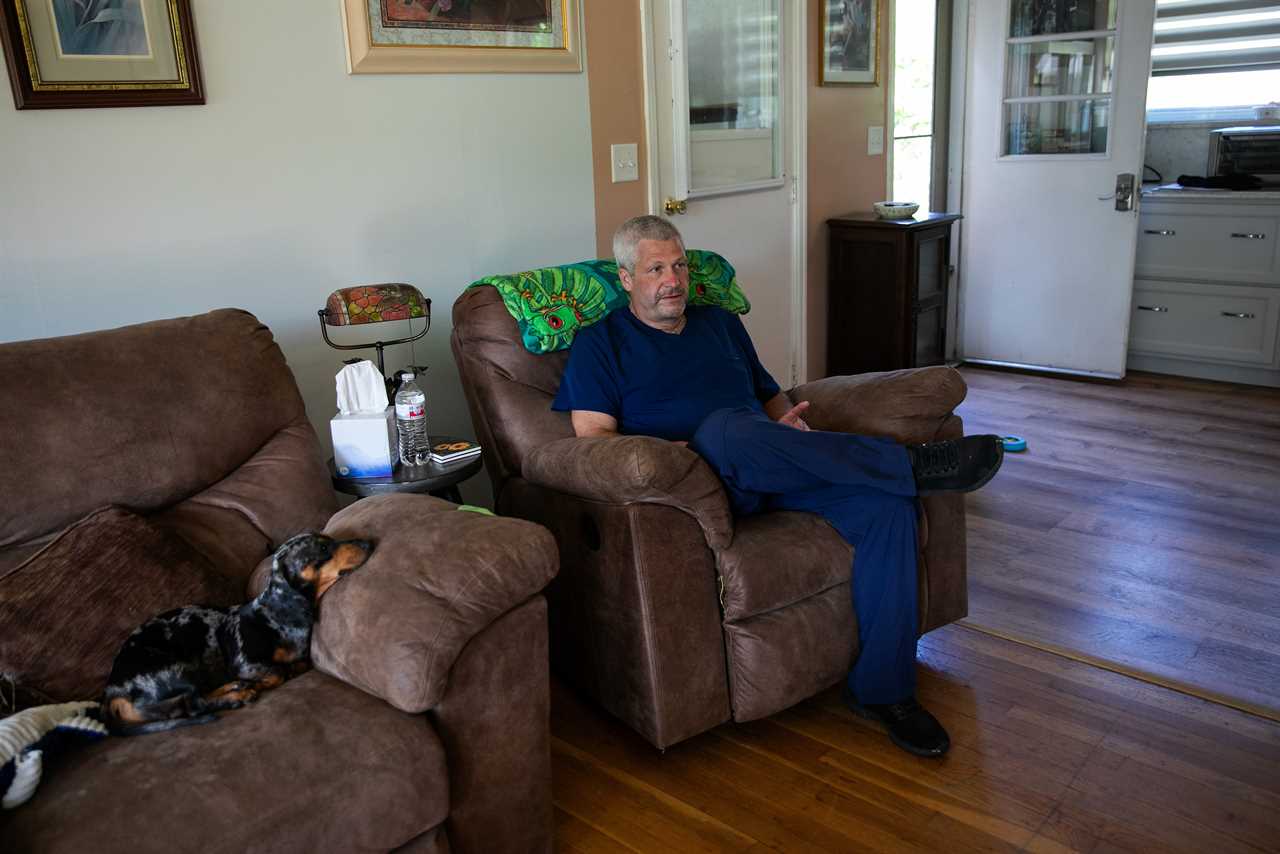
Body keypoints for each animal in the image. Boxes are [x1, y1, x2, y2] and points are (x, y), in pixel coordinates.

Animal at [102, 535, 373, 737]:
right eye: (323, 547)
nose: (369, 542)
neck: (276, 614)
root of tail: (112, 692)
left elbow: (297, 664)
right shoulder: (245, 662)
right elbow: (277, 673)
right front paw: (258, 683)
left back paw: (233, 687)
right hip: (176, 667)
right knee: (193, 705)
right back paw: (237, 695)